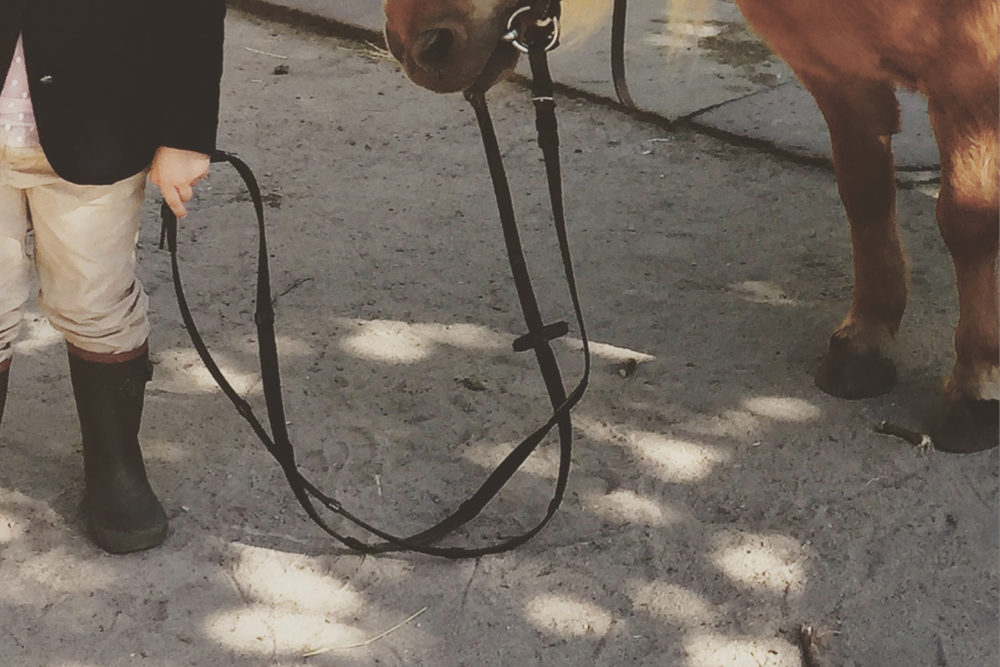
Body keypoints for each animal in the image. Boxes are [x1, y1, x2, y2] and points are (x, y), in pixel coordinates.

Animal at [382, 0, 1000, 454]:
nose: (413, 43)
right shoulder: (837, 68)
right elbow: (865, 191)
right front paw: (867, 341)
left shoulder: (974, 79)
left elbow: (970, 218)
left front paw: (978, 386)